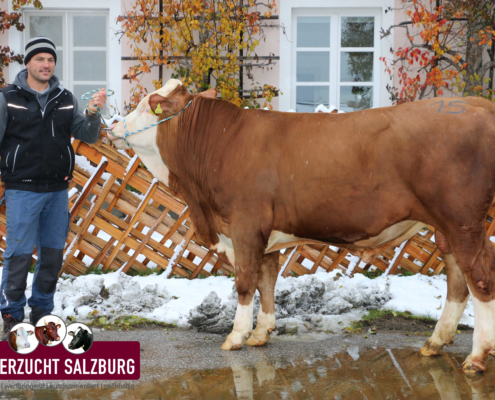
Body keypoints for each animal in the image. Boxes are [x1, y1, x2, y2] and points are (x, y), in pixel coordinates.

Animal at [109, 79, 495, 374]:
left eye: (148, 104)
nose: (111, 125)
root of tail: (476, 103)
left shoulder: (245, 225)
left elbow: (245, 283)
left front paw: (236, 336)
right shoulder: (262, 234)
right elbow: (266, 281)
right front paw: (261, 333)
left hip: (463, 223)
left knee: (479, 279)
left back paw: (476, 357)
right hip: (448, 228)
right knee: (458, 279)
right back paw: (436, 342)